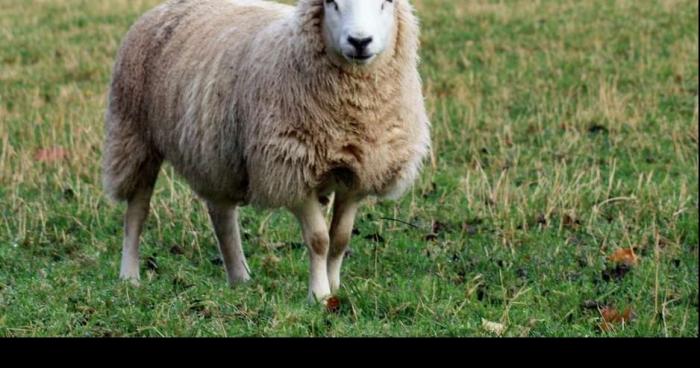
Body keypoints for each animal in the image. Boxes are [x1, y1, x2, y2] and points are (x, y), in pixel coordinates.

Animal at [102, 0, 432, 304]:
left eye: (386, 3)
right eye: (331, 3)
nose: (360, 41)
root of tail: (164, 7)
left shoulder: (359, 174)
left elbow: (339, 239)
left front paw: (336, 287)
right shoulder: (289, 168)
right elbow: (319, 240)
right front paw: (320, 296)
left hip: (217, 154)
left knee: (221, 214)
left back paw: (239, 278)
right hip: (134, 136)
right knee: (137, 211)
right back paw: (129, 275)